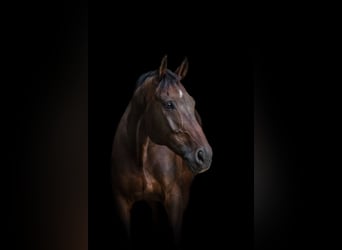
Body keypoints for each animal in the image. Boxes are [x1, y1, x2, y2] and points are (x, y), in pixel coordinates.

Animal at [111, 55, 212, 248]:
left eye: (192, 102)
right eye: (169, 104)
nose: (205, 156)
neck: (141, 156)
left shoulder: (175, 201)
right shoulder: (121, 204)